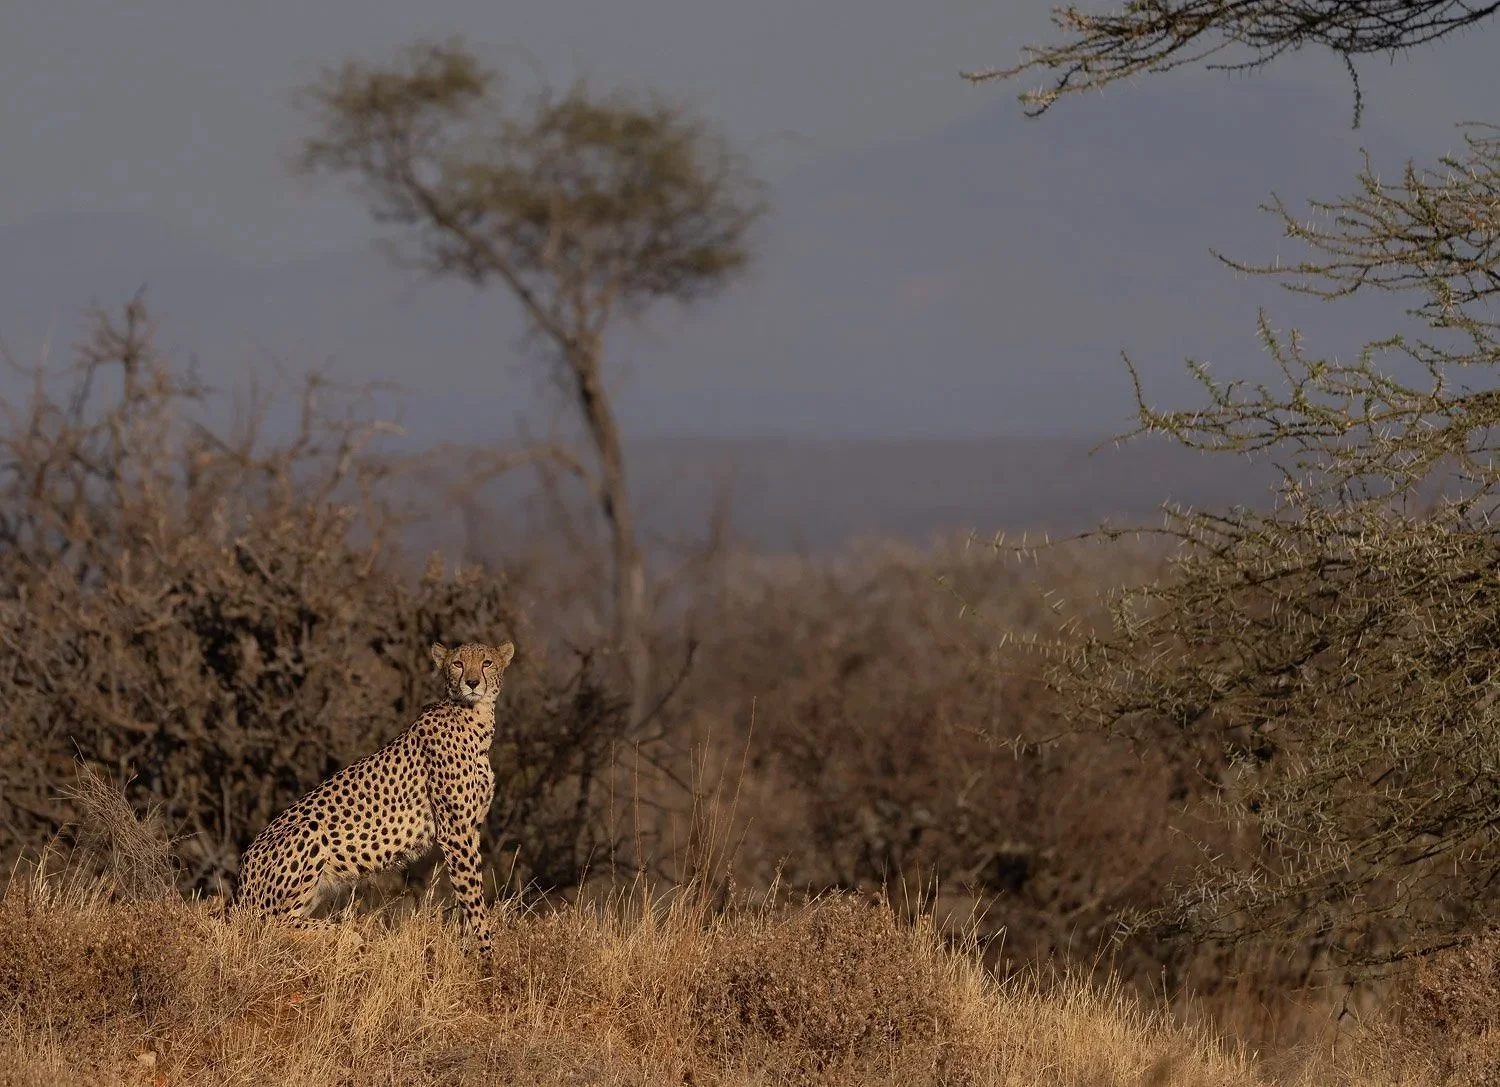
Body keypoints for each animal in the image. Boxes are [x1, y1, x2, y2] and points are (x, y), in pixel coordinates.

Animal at [233, 640, 515, 954]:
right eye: (457, 664)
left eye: (487, 662)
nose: (472, 683)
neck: (476, 717)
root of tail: (240, 881)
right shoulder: (455, 831)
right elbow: (472, 893)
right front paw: (485, 951)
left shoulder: (470, 828)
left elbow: (470, 887)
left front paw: (475, 945)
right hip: (308, 831)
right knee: (269, 924)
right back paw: (345, 935)